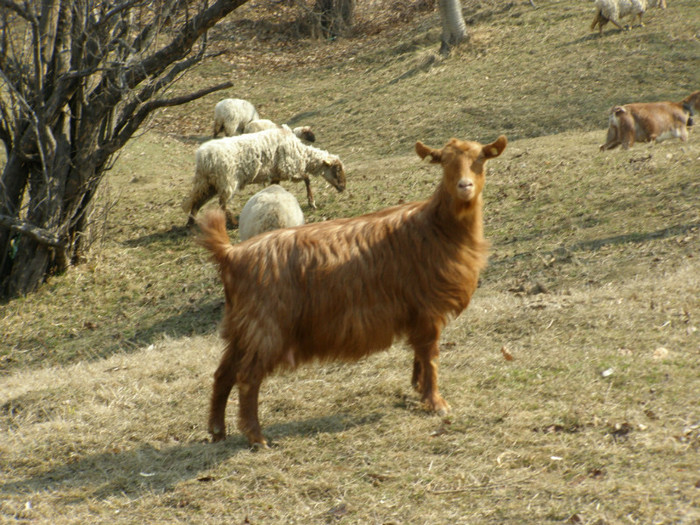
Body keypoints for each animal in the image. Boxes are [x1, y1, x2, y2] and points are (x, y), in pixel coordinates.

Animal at [180, 127, 344, 227]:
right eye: (337, 170)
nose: (343, 188)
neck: (302, 153)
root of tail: (203, 157)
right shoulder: (289, 167)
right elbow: (307, 178)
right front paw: (311, 202)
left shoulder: (277, 174)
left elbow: (276, 187)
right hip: (227, 180)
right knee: (222, 203)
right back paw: (232, 223)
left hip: (208, 183)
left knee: (197, 200)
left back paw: (190, 223)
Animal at [197, 133, 508, 444]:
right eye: (443, 161)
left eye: (481, 158)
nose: (464, 186)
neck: (436, 227)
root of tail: (232, 253)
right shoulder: (427, 308)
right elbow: (430, 356)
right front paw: (436, 402)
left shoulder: (417, 313)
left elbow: (420, 354)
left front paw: (418, 388)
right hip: (265, 329)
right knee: (248, 378)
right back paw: (256, 437)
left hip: (242, 329)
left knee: (223, 373)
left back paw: (218, 430)